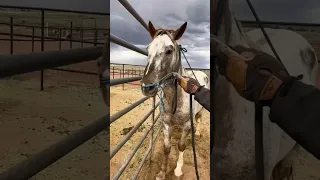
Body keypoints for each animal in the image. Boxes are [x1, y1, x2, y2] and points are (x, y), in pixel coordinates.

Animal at [140, 21, 210, 180]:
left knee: (198, 120)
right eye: (148, 49)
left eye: (169, 50)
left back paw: (197, 133)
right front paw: (162, 172)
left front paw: (178, 169)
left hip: (200, 111)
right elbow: (167, 148)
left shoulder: (186, 125)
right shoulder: (166, 123)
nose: (147, 87)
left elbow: (181, 146)